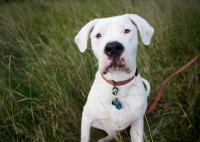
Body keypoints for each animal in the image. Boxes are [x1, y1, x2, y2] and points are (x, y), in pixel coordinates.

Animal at [74, 13, 154, 142]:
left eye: (127, 30)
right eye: (98, 35)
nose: (113, 47)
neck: (117, 82)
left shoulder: (137, 123)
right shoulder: (86, 118)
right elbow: (85, 137)